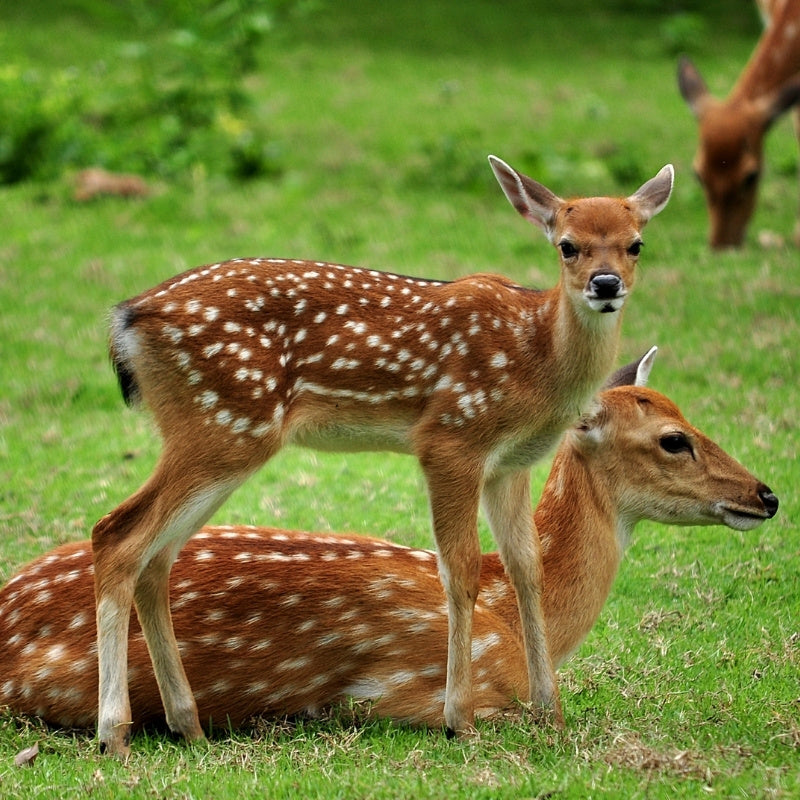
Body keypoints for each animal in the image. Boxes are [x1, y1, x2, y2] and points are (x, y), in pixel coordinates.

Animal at [90, 155, 674, 758]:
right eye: (566, 245)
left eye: (636, 244)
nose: (605, 285)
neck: (537, 357)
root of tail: (126, 319)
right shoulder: (451, 437)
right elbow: (460, 570)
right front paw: (458, 719)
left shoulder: (510, 464)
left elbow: (525, 568)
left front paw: (550, 715)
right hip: (223, 423)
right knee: (117, 533)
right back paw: (114, 733)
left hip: (216, 431)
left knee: (156, 557)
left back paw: (188, 724)